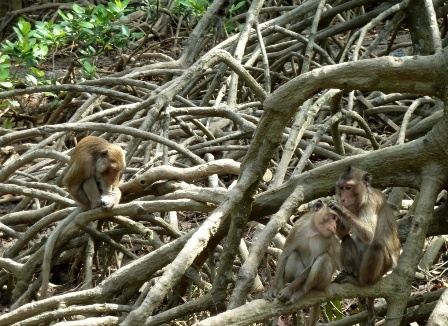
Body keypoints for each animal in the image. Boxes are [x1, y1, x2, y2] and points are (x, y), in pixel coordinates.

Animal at [328, 167, 402, 324]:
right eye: (341, 188)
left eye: (348, 188)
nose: (343, 199)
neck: (361, 201)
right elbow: (344, 233)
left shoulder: (371, 204)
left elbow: (369, 235)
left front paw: (340, 208)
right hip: (358, 266)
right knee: (346, 239)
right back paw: (349, 272)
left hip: (381, 271)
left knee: (377, 245)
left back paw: (361, 282)